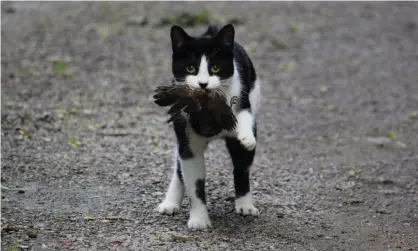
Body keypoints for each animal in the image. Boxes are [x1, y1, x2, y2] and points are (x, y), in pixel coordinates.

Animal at [157, 23, 262, 229]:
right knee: (179, 165)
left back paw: (245, 206)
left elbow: (244, 118)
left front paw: (246, 138)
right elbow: (194, 182)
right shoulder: (187, 135)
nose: (203, 84)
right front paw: (199, 220)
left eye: (215, 67)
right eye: (191, 68)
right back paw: (170, 202)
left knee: (242, 167)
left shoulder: (242, 100)